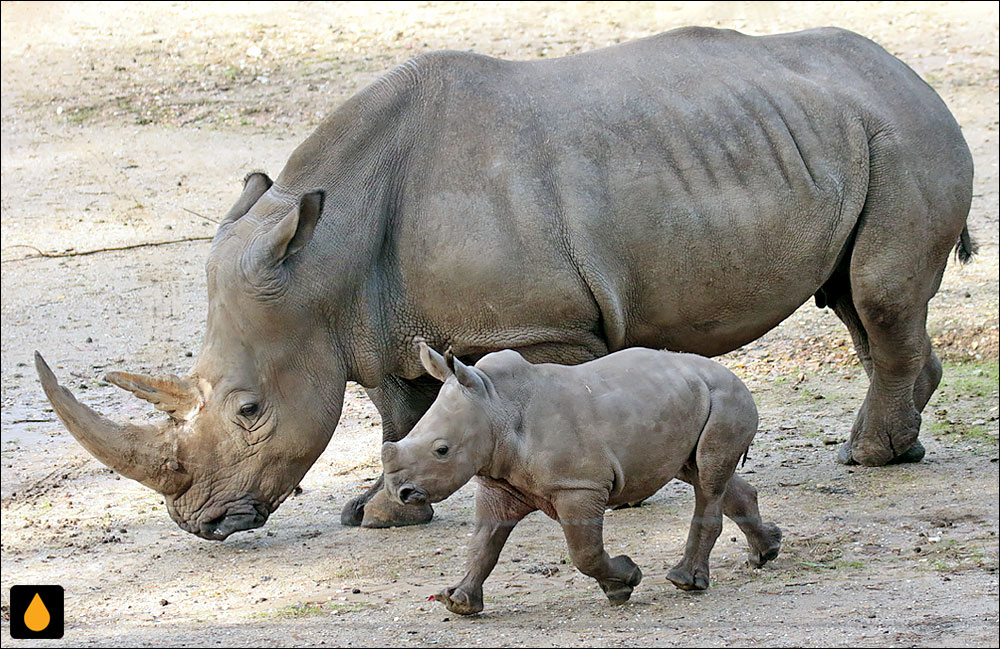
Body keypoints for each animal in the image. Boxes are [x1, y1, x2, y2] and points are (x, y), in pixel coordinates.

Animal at [382, 344, 780, 612]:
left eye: (442, 450)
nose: (402, 493)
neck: (495, 404)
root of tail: (730, 372)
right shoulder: (500, 483)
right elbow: (483, 544)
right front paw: (458, 602)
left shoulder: (579, 485)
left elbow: (583, 552)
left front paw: (625, 583)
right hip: (692, 398)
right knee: (700, 473)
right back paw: (766, 551)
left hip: (726, 397)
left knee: (708, 479)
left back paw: (685, 582)